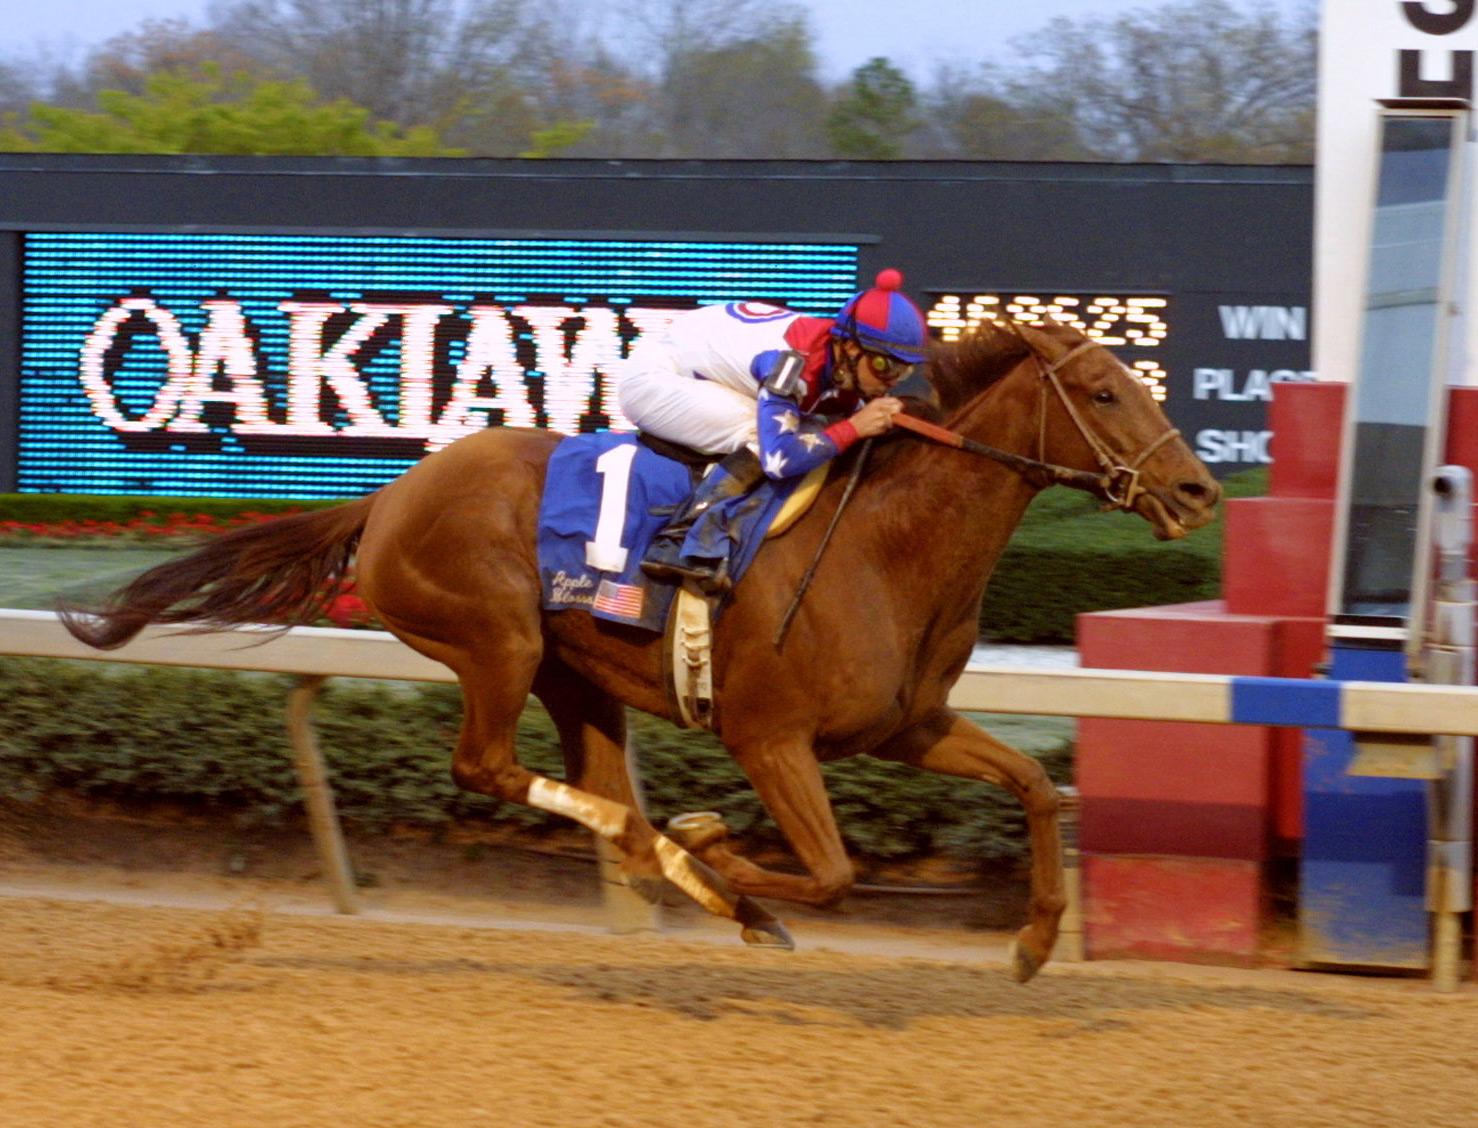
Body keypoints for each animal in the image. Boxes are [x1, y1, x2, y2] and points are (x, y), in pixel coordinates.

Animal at [60, 319, 1220, 982]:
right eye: (1106, 392)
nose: (1200, 490)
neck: (887, 547)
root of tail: (387, 497)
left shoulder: (907, 726)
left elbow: (1030, 784)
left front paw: (1033, 942)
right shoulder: (768, 737)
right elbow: (833, 873)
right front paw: (718, 856)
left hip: (576, 678)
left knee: (595, 787)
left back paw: (673, 858)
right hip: (498, 639)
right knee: (493, 768)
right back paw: (676, 851)